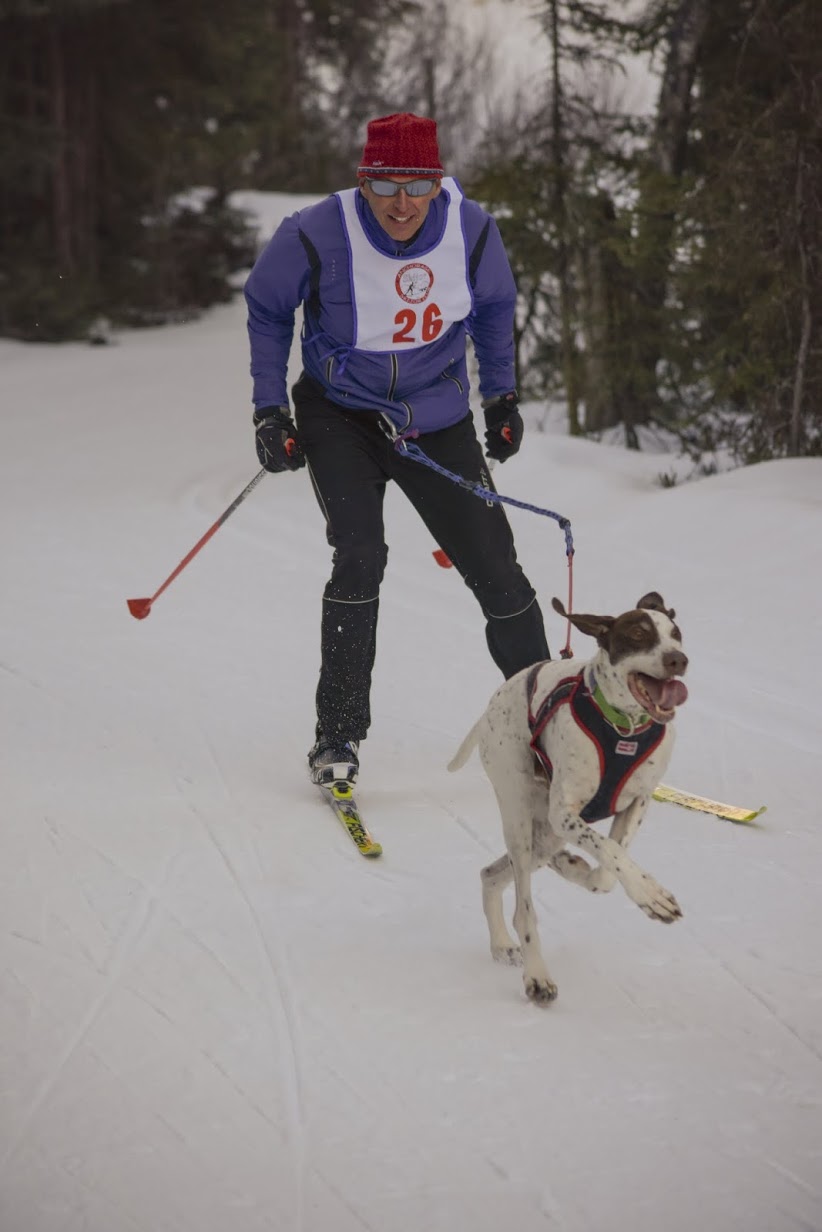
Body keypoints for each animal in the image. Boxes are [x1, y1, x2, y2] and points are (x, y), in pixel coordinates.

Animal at [446, 591, 690, 1005]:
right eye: (638, 634)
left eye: (676, 634)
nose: (678, 660)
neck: (623, 727)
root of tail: (495, 700)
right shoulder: (565, 813)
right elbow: (611, 851)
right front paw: (651, 894)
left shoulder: (636, 802)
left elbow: (609, 869)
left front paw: (599, 876)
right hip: (520, 815)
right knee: (523, 910)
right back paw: (537, 976)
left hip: (543, 833)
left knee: (492, 874)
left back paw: (506, 936)